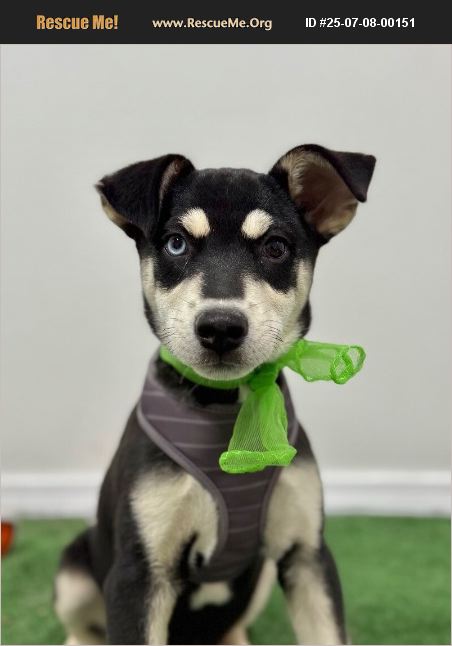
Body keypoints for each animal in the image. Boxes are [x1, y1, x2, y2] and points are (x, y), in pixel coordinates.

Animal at [54, 144, 375, 645]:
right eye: (176, 243)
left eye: (276, 247)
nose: (220, 327)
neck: (229, 403)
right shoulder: (138, 575)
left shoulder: (307, 553)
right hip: (74, 569)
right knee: (84, 629)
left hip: (263, 577)